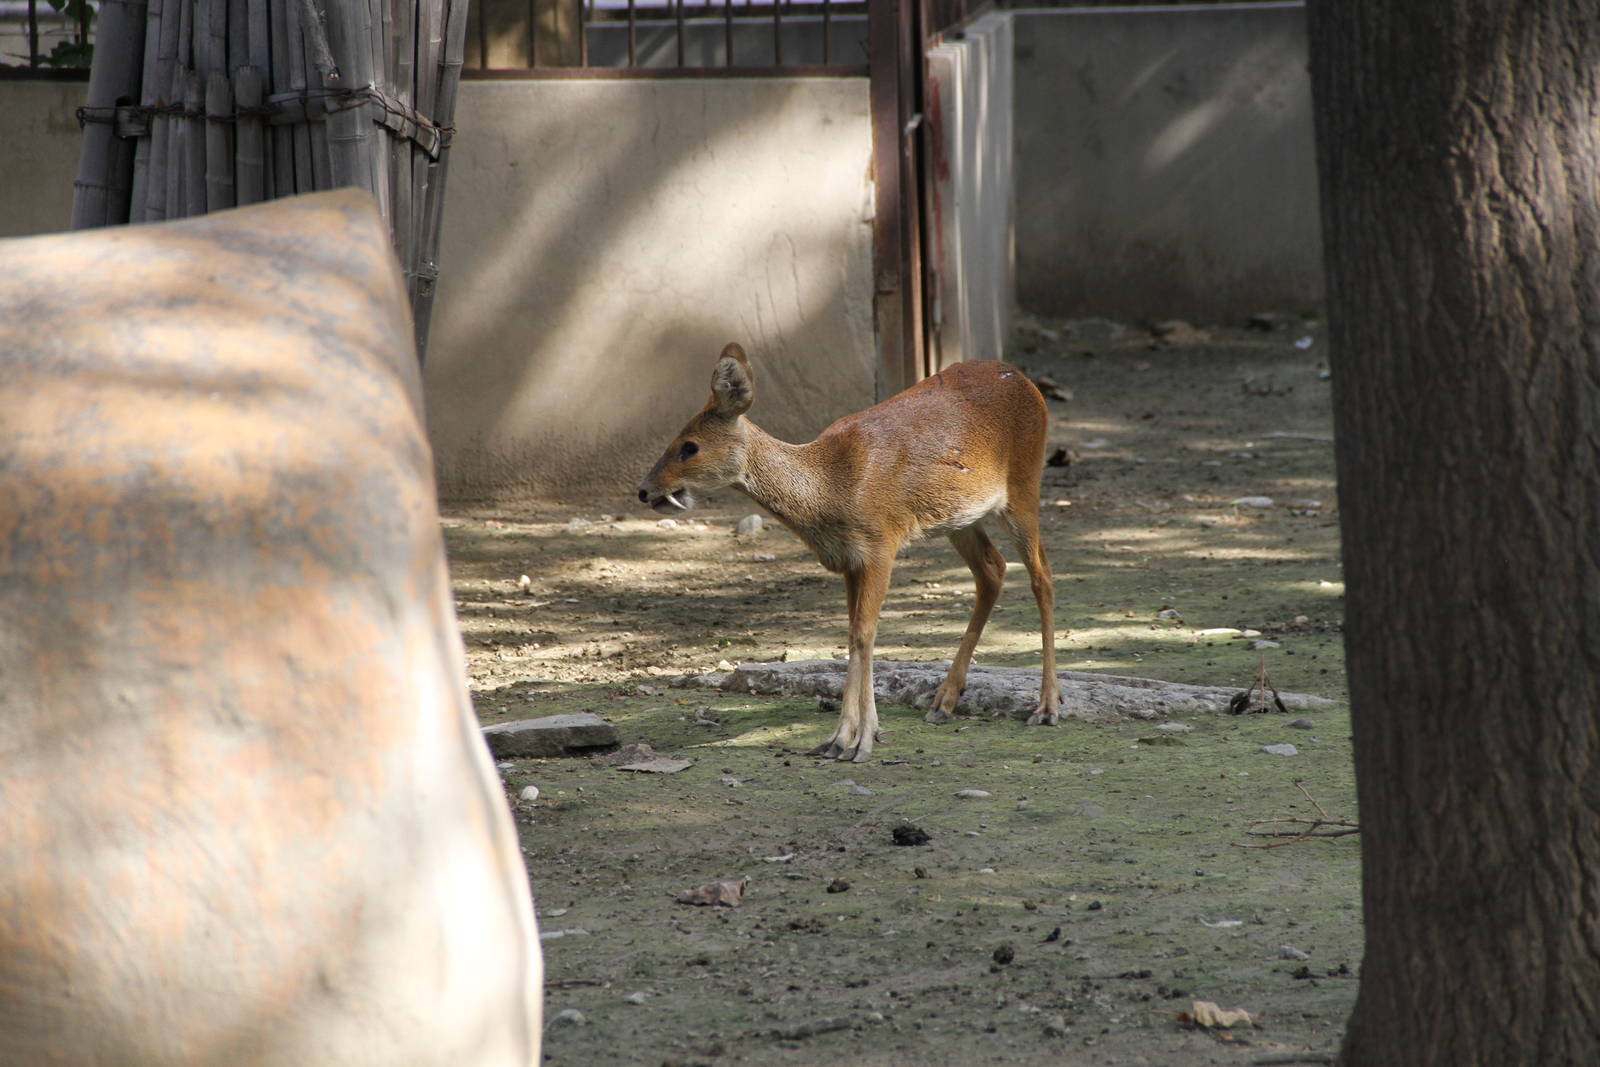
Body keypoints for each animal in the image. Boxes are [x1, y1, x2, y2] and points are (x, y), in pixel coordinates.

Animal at [639, 343, 1061, 762]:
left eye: (689, 446)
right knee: (993, 569)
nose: (644, 490)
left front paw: (857, 742)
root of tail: (1025, 381)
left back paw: (1047, 707)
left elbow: (864, 634)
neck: (831, 486)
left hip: (1023, 486)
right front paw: (841, 739)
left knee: (1042, 576)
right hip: (960, 518)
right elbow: (853, 636)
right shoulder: (848, 560)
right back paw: (943, 702)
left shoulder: (881, 544)